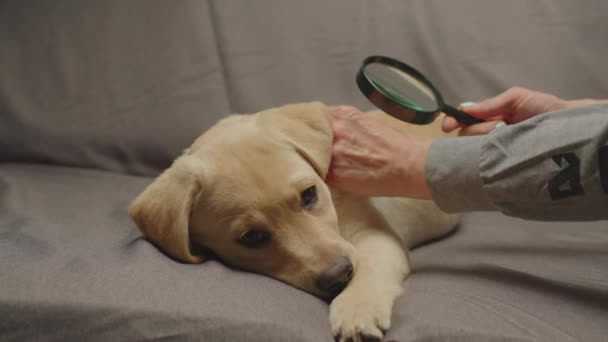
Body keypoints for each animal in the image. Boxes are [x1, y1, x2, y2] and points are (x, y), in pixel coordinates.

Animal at [131, 102, 458, 342]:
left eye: (309, 194)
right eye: (251, 237)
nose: (339, 275)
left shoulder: (373, 233)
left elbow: (371, 264)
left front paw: (357, 308)